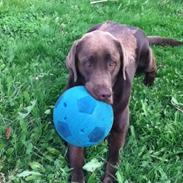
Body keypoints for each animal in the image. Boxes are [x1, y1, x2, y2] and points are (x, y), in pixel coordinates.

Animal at [65, 21, 182, 182]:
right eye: (87, 63)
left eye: (112, 63)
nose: (105, 94)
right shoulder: (73, 130)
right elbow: (76, 160)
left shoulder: (121, 128)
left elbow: (114, 158)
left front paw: (109, 178)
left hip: (145, 59)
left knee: (153, 64)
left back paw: (149, 81)